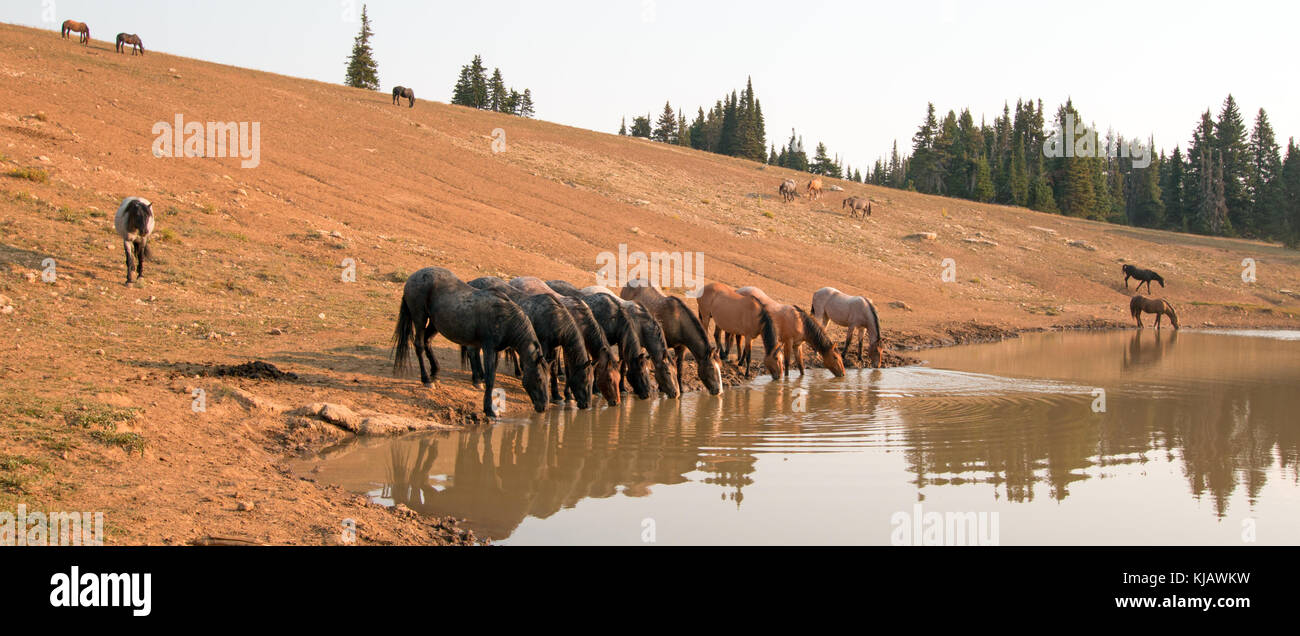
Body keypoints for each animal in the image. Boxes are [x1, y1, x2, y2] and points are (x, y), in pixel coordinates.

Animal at [392, 267, 550, 417]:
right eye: (539, 378)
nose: (544, 407)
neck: (506, 318)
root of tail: (413, 277)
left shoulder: (496, 351)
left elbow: (491, 375)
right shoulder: (488, 348)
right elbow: (490, 378)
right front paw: (489, 409)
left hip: (435, 324)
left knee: (427, 341)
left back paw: (435, 373)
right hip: (419, 318)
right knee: (419, 345)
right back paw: (426, 380)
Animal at [467, 277, 593, 408]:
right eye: (584, 380)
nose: (587, 405)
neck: (556, 317)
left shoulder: (555, 347)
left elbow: (552, 368)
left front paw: (557, 396)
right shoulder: (544, 345)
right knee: (473, 352)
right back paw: (478, 379)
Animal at [506, 276, 621, 406]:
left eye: (619, 379)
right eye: (609, 379)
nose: (616, 402)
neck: (581, 320)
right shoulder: (567, 349)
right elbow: (568, 369)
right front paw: (567, 394)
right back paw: (518, 371)